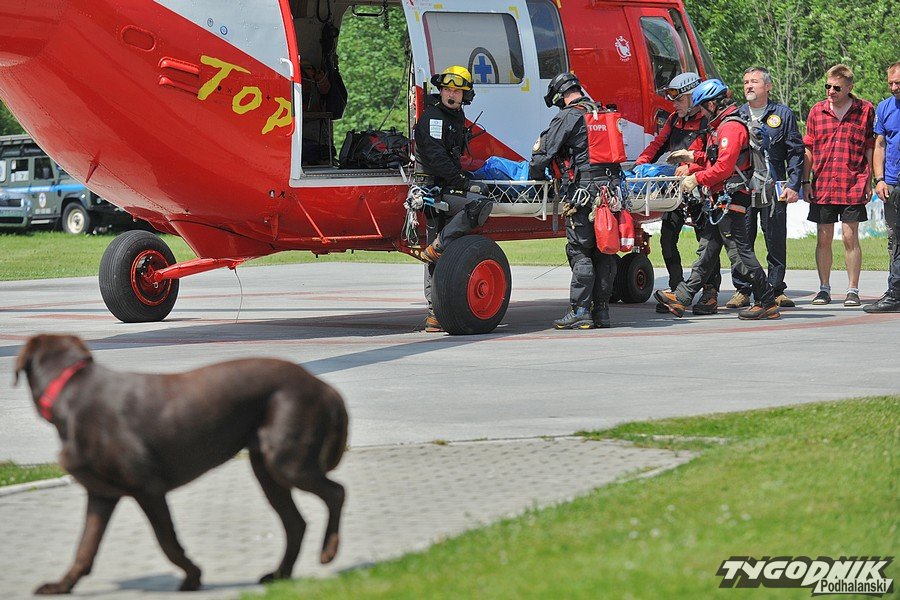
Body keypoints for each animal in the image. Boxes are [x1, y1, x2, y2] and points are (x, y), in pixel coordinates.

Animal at [14, 334, 348, 594]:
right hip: (265, 467)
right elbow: (84, 549)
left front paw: (193, 577)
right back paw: (280, 575)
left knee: (336, 492)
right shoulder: (101, 495)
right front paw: (61, 586)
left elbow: (168, 542)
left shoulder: (148, 488)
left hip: (287, 461)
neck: (70, 389)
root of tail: (324, 386)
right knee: (296, 522)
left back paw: (328, 552)